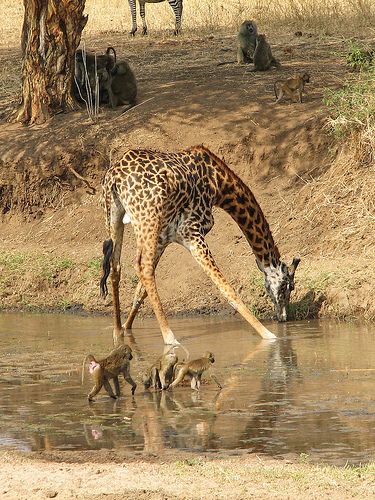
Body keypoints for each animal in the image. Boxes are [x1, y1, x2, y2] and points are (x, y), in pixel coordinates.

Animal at [100, 146, 300, 346]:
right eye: (287, 286)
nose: (283, 317)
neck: (219, 185)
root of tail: (115, 176)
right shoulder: (192, 232)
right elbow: (225, 287)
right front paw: (269, 335)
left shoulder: (164, 238)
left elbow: (140, 292)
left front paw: (127, 327)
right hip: (148, 219)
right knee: (144, 267)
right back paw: (169, 337)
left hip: (116, 217)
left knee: (116, 266)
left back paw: (117, 331)